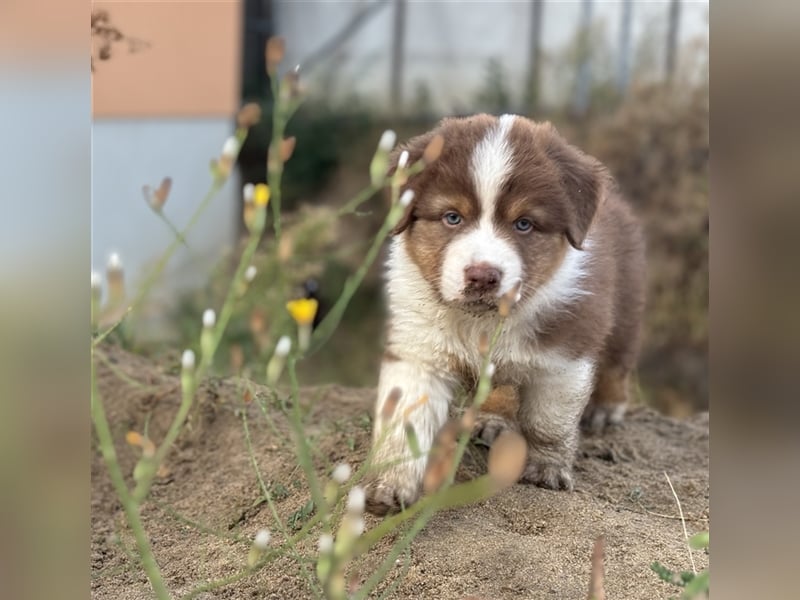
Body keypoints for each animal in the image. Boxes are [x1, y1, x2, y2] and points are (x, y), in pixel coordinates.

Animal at [366, 113, 648, 516]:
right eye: (452, 217)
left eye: (524, 224)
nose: (482, 276)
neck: (481, 322)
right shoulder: (419, 349)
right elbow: (405, 420)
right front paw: (388, 486)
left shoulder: (565, 354)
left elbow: (549, 421)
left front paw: (547, 470)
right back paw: (493, 419)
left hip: (627, 303)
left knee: (617, 361)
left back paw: (606, 409)